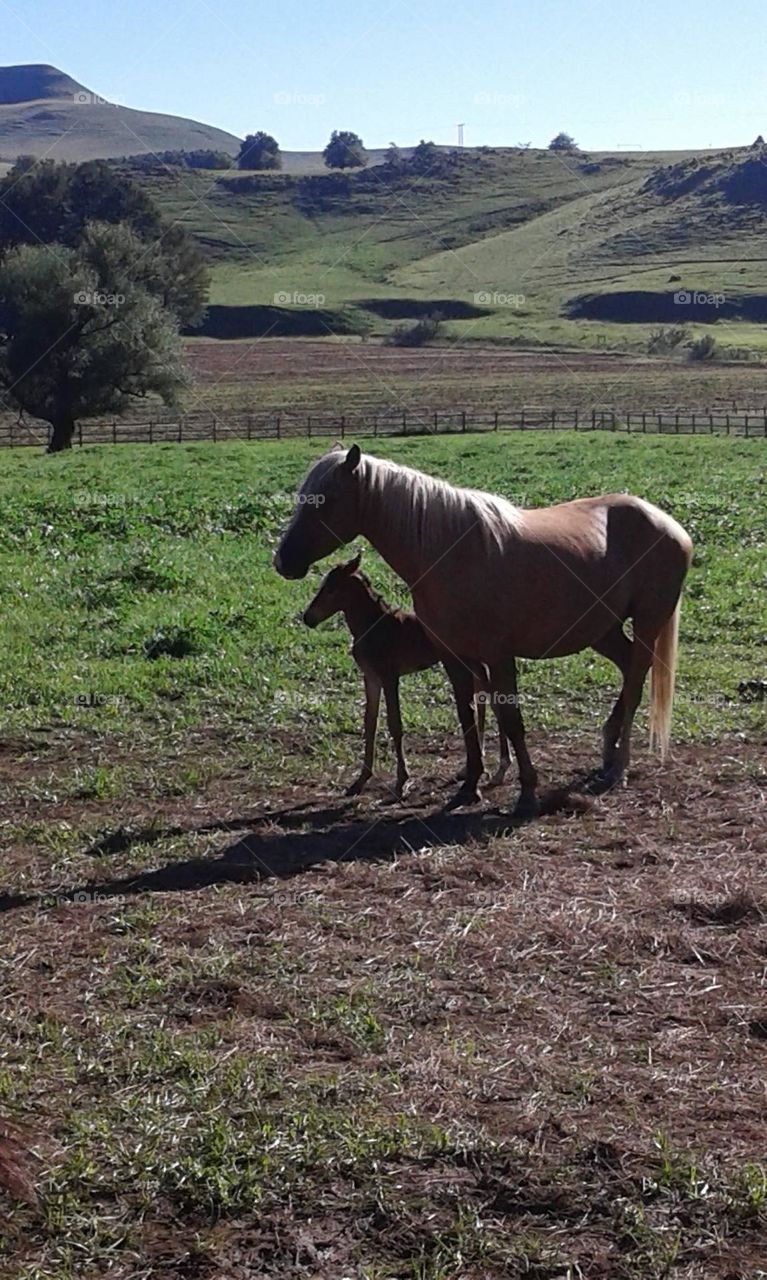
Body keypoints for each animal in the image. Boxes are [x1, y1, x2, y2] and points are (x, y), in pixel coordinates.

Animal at [302, 551, 510, 798]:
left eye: (332, 589)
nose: (307, 618)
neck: (372, 626)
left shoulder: (389, 676)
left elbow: (394, 724)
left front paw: (401, 781)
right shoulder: (371, 678)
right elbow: (370, 723)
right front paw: (360, 781)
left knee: (495, 701)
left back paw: (500, 769)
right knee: (484, 699)